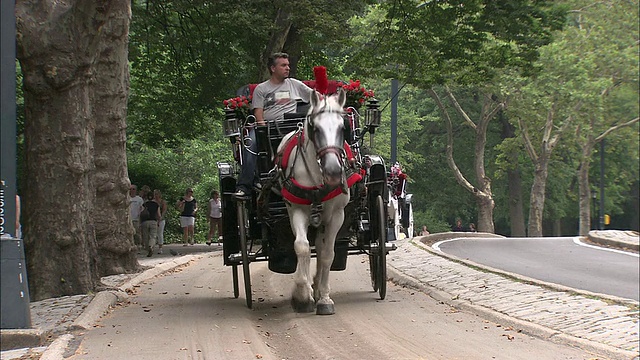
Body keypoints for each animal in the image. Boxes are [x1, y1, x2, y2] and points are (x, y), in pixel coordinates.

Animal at [274, 88, 344, 316]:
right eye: (315, 128)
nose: (333, 171)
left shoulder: (337, 216)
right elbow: (302, 247)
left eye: (343, 127)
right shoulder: (296, 211)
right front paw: (302, 295)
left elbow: (328, 255)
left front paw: (324, 298)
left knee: (321, 250)